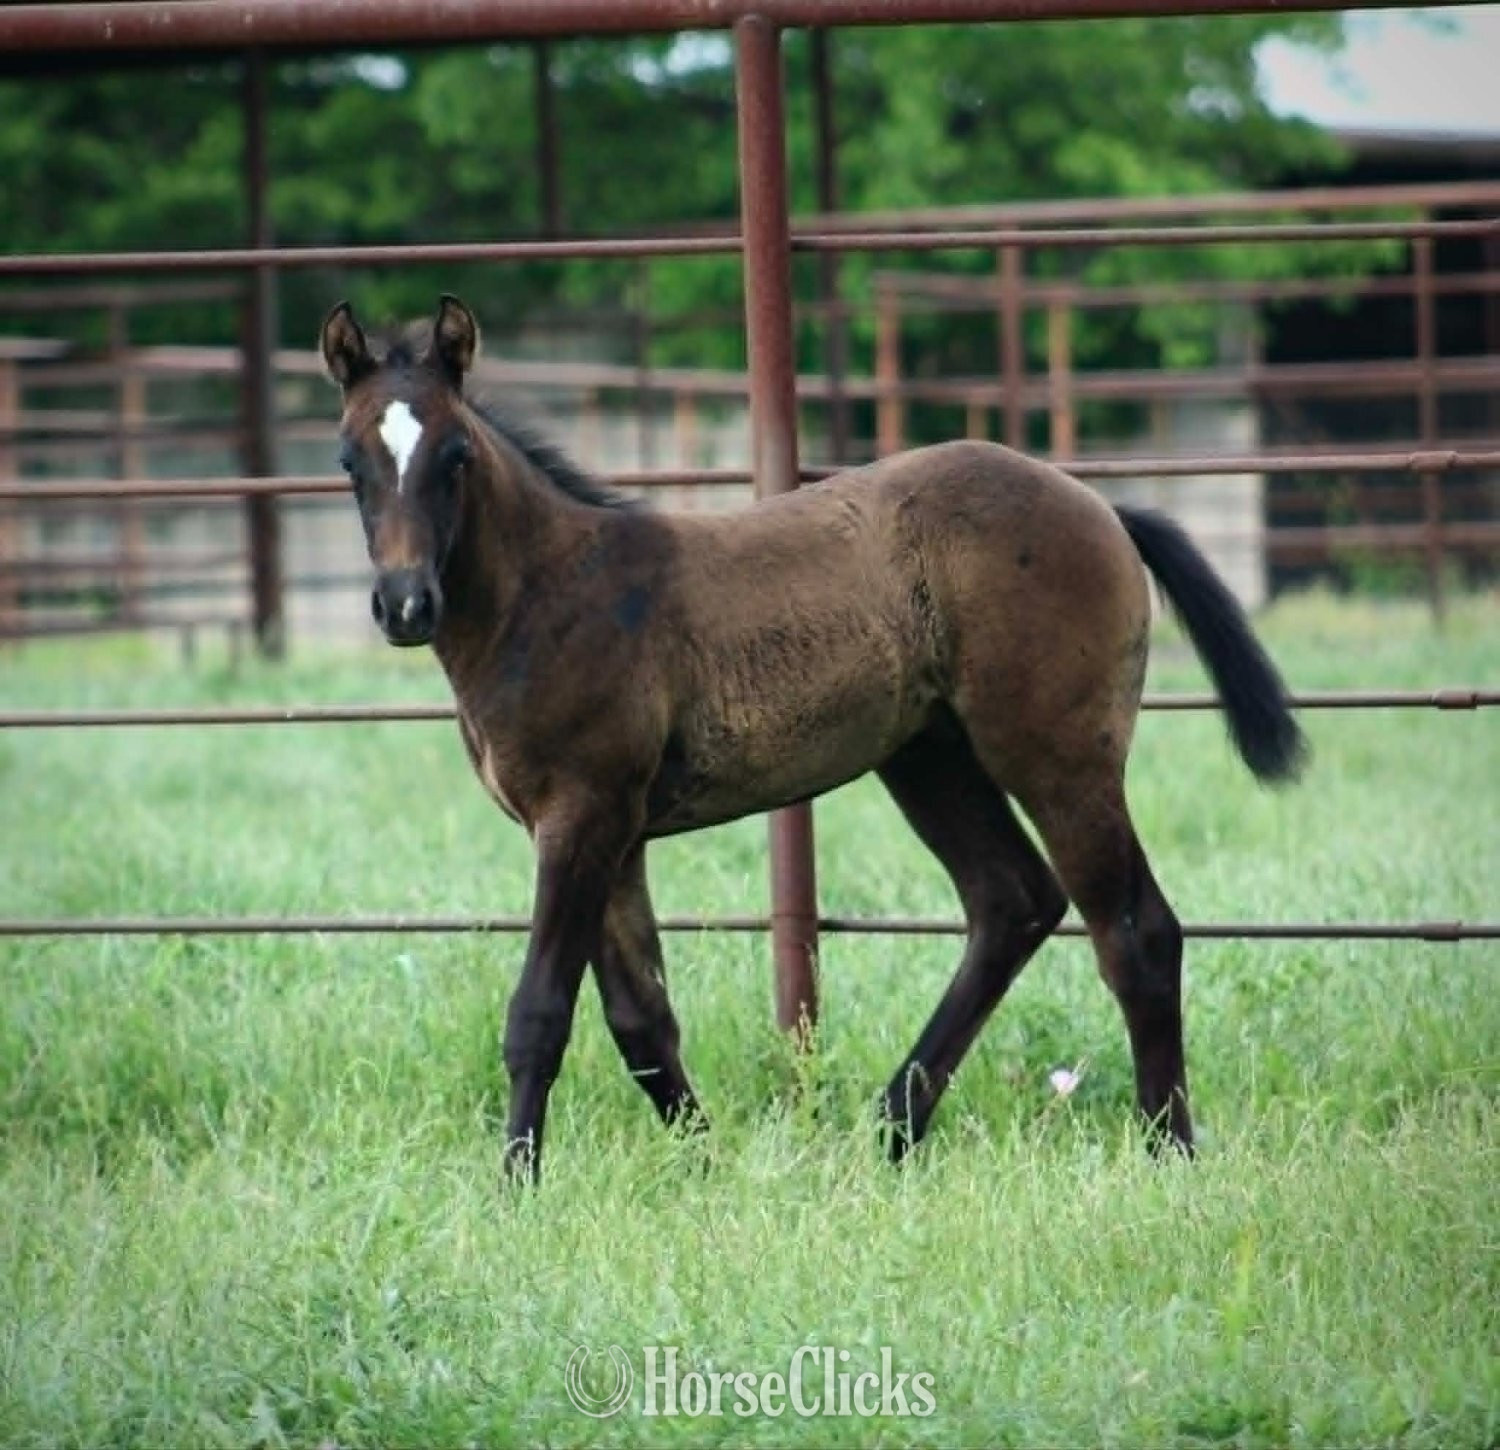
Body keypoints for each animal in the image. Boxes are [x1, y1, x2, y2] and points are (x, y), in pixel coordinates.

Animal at [320, 294, 1305, 1183]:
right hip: (929, 755)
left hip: (1059, 756)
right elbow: (641, 1019)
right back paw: (892, 1130)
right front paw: (710, 1169)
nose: (405, 606)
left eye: (455, 456)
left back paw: (1167, 1152)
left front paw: (516, 1186)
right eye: (348, 461)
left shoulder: (582, 816)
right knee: (1012, 901)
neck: (549, 594)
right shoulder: (603, 833)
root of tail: (1100, 507)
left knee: (1135, 930)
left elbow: (540, 1013)